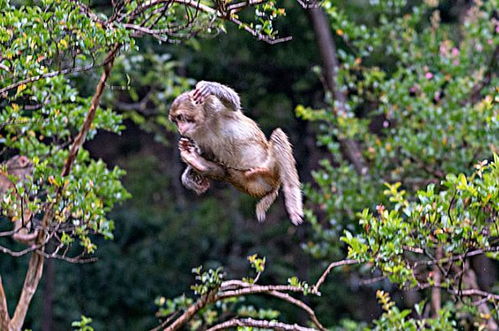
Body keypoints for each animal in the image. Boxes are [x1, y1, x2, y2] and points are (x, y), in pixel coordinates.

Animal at [170, 81, 304, 226]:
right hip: (248, 182)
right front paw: (188, 176)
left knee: (278, 135)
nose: (180, 128)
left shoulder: (212, 104)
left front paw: (210, 87)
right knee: (227, 172)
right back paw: (198, 162)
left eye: (180, 117)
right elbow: (206, 153)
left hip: (273, 169)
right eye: (176, 121)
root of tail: (272, 186)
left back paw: (292, 198)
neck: (204, 122)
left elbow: (233, 103)